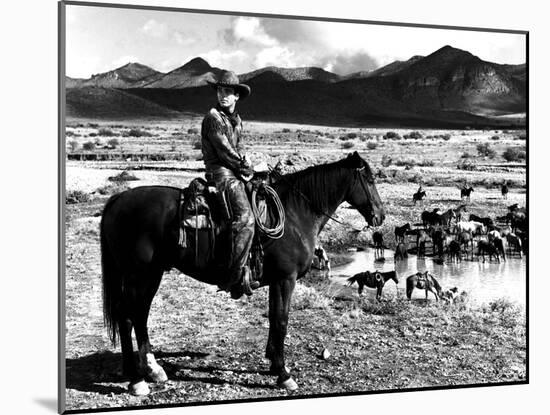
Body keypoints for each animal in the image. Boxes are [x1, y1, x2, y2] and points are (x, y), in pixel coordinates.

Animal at [99, 153, 386, 396]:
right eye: (370, 180)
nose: (380, 216)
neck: (294, 214)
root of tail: (118, 200)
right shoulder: (286, 279)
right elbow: (281, 320)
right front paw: (284, 375)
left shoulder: (277, 281)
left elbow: (274, 317)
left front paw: (274, 364)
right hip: (138, 274)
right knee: (129, 316)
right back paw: (136, 380)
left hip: (151, 274)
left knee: (139, 315)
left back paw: (152, 370)